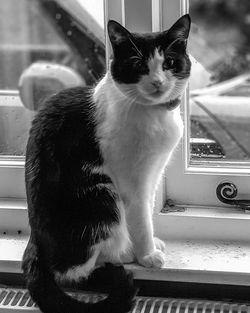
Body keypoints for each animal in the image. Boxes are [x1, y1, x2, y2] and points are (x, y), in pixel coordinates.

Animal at [23, 14, 191, 312]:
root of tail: (36, 243)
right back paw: (124, 254)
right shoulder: (132, 182)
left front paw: (150, 246)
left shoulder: (153, 173)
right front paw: (147, 255)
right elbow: (140, 219)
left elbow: (147, 212)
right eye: (138, 65)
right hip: (100, 196)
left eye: (169, 63)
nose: (158, 82)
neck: (153, 115)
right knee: (76, 270)